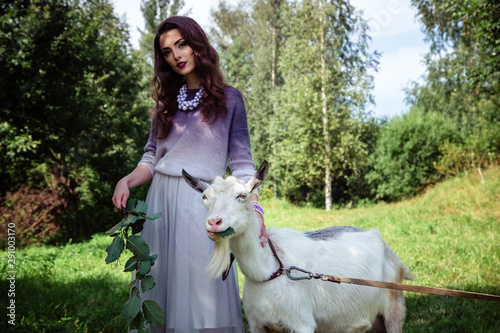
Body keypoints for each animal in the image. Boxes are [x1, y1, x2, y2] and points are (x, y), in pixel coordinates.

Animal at [184, 160, 414, 330]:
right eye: (204, 197)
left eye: (242, 195)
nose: (214, 222)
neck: (270, 271)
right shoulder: (258, 325)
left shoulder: (302, 323)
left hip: (394, 308)